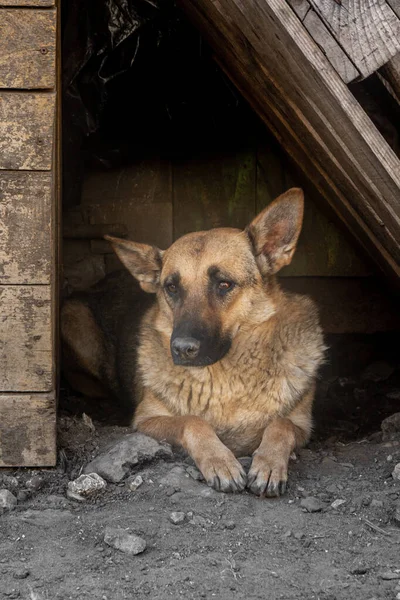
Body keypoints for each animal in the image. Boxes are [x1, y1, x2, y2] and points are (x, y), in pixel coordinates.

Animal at [61, 189, 324, 496]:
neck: (227, 379)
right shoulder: (147, 421)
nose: (182, 349)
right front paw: (220, 461)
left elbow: (281, 424)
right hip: (73, 316)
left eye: (224, 284)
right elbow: (192, 421)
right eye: (172, 287)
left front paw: (269, 464)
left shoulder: (303, 426)